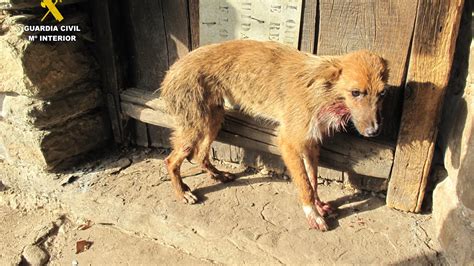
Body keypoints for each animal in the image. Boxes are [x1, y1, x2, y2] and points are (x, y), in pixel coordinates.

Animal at [161, 40, 386, 231]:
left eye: (382, 93)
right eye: (356, 92)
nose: (374, 131)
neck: (322, 91)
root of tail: (172, 70)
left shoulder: (310, 143)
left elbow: (313, 180)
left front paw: (319, 205)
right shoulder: (288, 142)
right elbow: (305, 185)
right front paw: (312, 214)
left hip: (213, 120)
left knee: (200, 155)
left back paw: (218, 175)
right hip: (195, 127)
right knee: (171, 161)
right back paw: (182, 193)